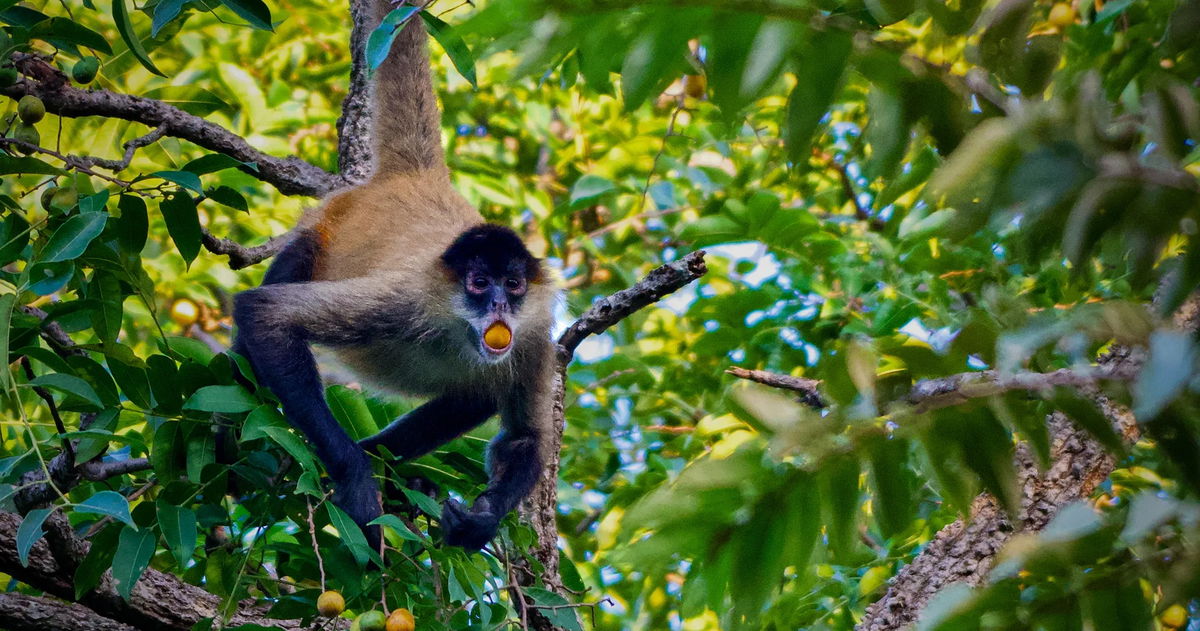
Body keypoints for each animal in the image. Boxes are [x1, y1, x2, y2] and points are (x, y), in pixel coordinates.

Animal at [230, 2, 556, 551]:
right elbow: (264, 315)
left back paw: (390, 464)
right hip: (321, 232)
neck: (458, 329)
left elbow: (523, 438)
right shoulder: (406, 299)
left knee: (476, 393)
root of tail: (415, 179)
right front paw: (356, 475)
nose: (498, 306)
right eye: (479, 284)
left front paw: (480, 521)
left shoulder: (534, 334)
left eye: (512, 285)